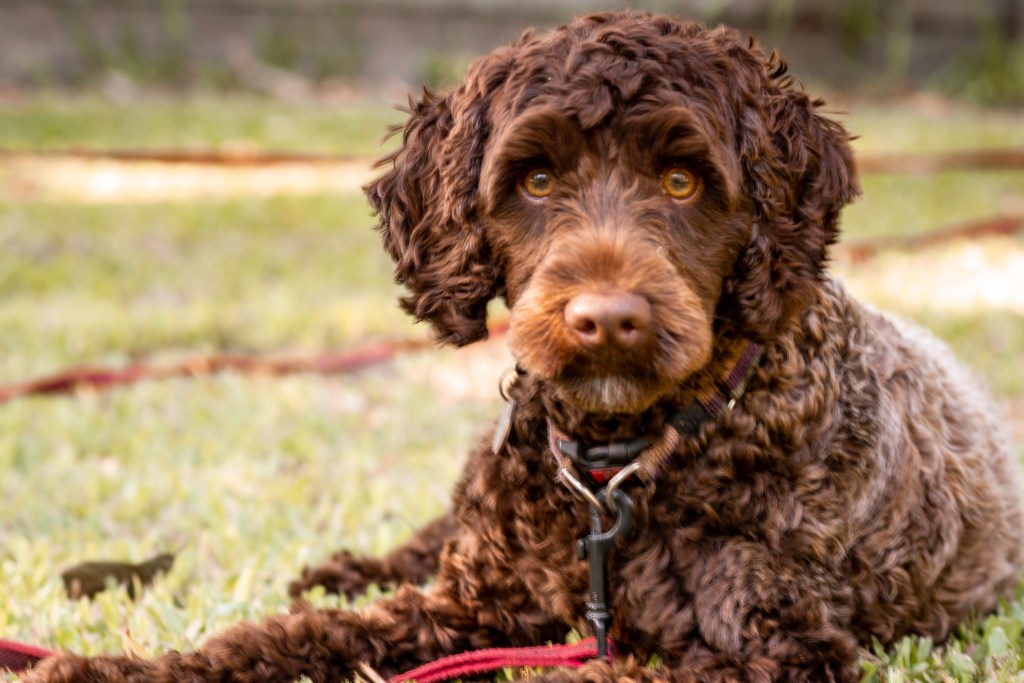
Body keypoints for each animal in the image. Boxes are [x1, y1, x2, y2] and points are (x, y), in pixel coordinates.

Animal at [24, 10, 1024, 683]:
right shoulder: (471, 605)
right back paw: (339, 568)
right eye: (537, 179)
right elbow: (285, 641)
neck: (625, 465)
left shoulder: (778, 649)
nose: (607, 318)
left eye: (683, 180)